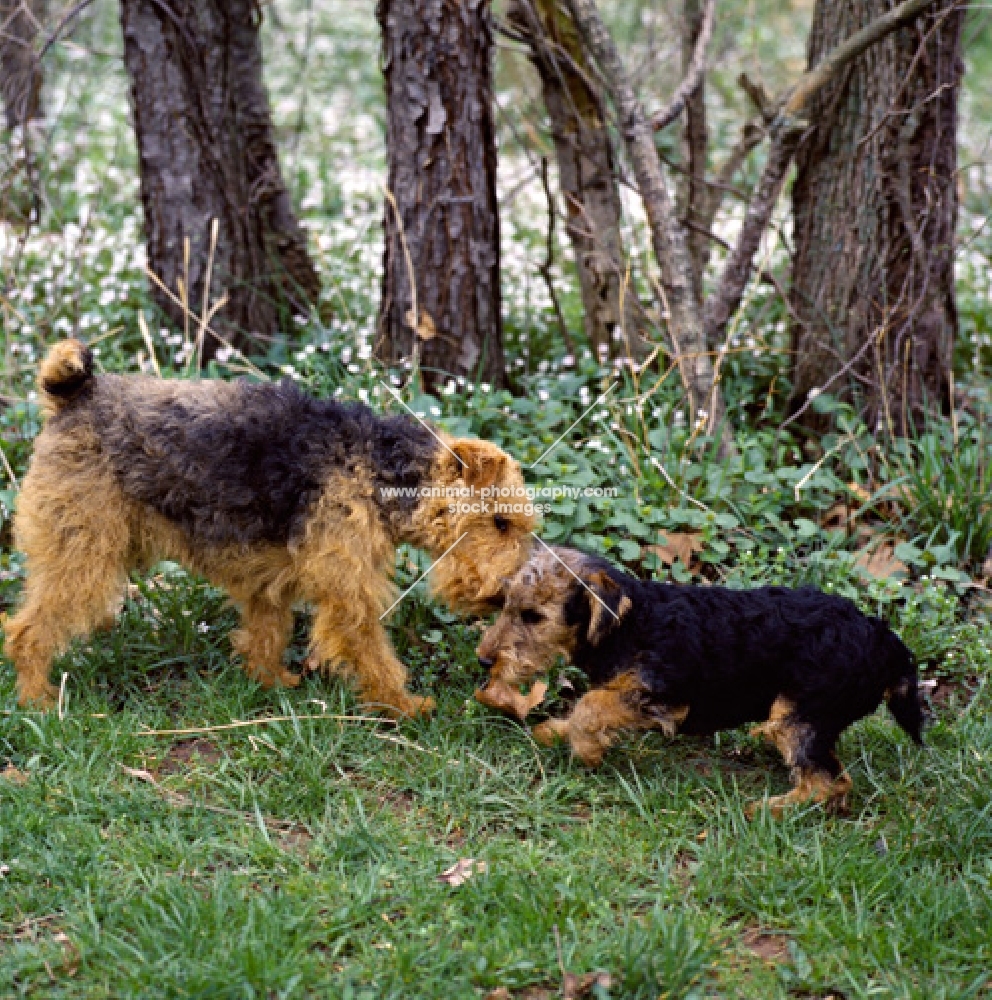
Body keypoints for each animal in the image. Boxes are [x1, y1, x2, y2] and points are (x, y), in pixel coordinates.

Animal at [3, 340, 540, 716]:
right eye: (500, 521)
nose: (506, 593)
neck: (379, 469)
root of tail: (70, 396)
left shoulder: (270, 582)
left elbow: (266, 633)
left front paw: (270, 682)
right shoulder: (349, 590)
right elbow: (373, 653)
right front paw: (405, 707)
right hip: (82, 554)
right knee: (27, 631)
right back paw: (38, 701)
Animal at [476, 552, 928, 816]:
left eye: (533, 616)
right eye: (508, 605)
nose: (484, 659)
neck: (630, 623)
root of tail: (884, 641)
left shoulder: (659, 694)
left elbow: (590, 705)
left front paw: (586, 751)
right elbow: (590, 705)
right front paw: (555, 732)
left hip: (802, 715)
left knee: (828, 784)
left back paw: (765, 810)